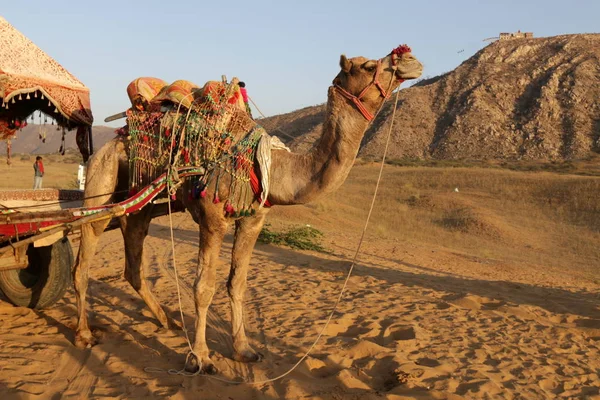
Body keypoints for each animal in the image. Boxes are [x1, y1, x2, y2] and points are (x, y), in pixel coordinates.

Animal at [71, 45, 422, 374]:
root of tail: (112, 137)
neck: (271, 166)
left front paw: (243, 350)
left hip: (141, 201)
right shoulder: (212, 218)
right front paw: (200, 358)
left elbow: (237, 283)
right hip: (102, 178)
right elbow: (203, 287)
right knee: (85, 253)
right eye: (369, 65)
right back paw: (84, 334)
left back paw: (167, 321)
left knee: (133, 259)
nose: (412, 60)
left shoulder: (254, 220)